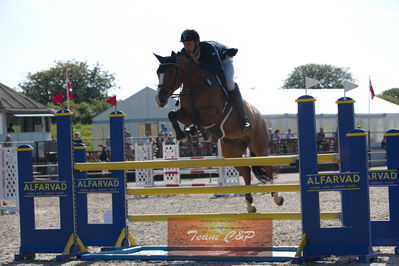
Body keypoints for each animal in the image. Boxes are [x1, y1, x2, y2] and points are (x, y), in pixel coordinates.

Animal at [154, 51, 284, 212]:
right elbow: (172, 114)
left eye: (171, 72)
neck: (195, 85)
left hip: (258, 145)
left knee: (267, 166)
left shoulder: (214, 114)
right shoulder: (185, 113)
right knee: (246, 171)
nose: (159, 100)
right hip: (232, 149)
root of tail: (259, 114)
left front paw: (196, 132)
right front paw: (183, 134)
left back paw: (277, 196)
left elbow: (198, 116)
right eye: (157, 73)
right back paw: (250, 204)